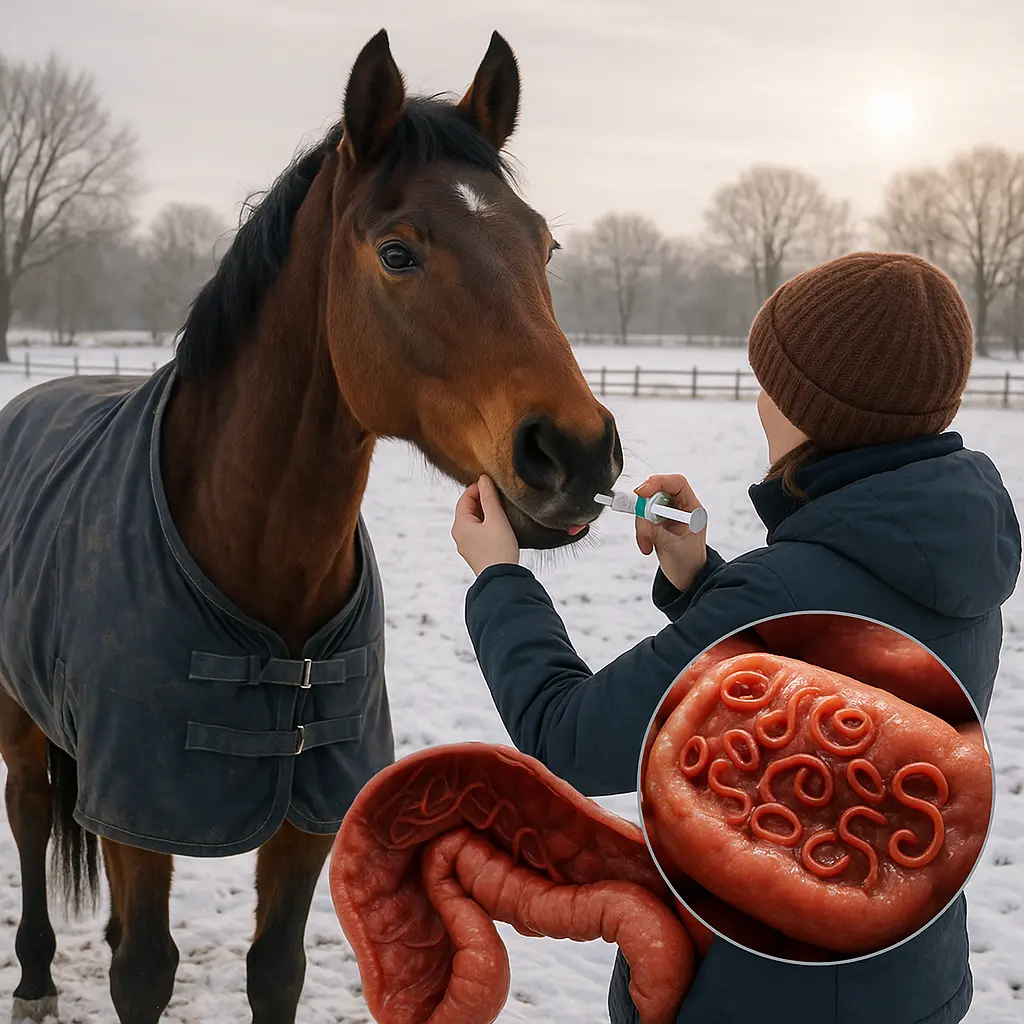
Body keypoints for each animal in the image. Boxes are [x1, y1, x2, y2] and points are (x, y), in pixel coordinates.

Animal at [0, 29, 622, 1024]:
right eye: (398, 253)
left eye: (546, 245)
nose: (578, 452)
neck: (256, 567)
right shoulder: (145, 812)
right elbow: (145, 972)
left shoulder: (304, 816)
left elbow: (274, 969)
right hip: (20, 720)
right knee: (27, 818)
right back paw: (32, 976)